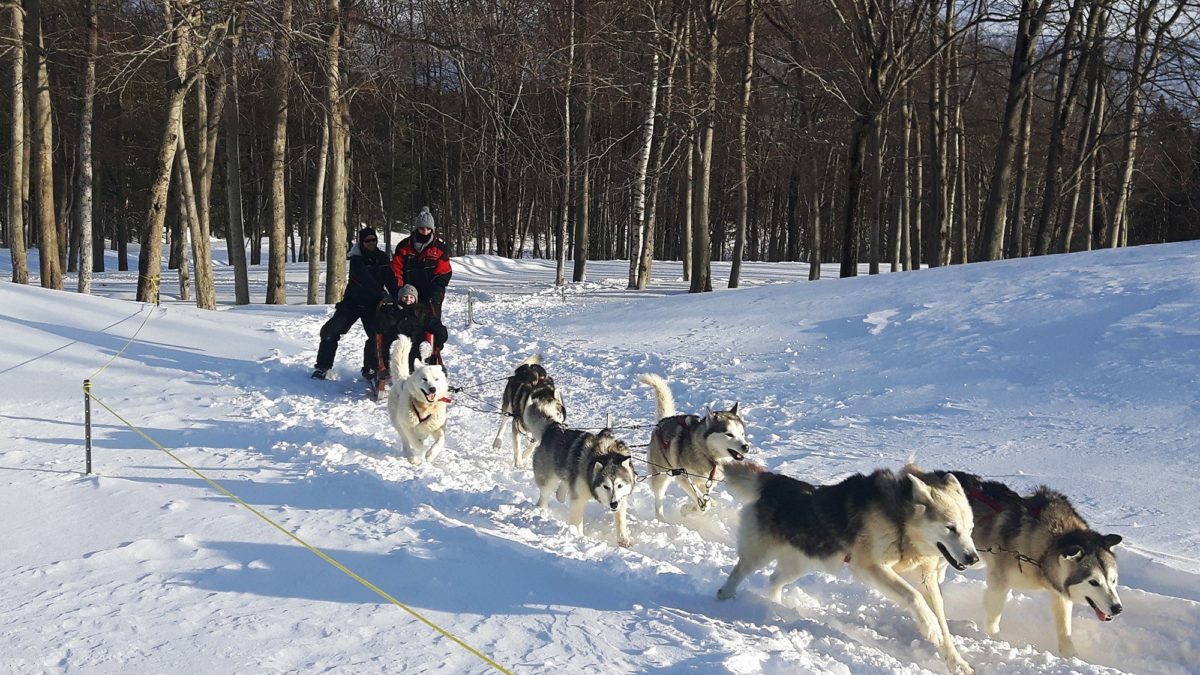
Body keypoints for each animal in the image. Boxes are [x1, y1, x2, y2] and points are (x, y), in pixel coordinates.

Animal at [388, 331, 451, 461]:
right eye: (424, 379)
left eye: (436, 379)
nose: (432, 389)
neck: (425, 407)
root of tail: (402, 378)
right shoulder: (407, 425)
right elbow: (415, 442)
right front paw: (422, 449)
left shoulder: (436, 426)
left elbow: (440, 440)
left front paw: (430, 454)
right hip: (398, 422)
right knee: (405, 441)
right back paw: (411, 457)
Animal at [643, 369, 744, 516]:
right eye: (729, 434)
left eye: (742, 434)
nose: (746, 447)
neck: (706, 454)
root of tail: (662, 422)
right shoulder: (683, 477)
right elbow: (702, 500)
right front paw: (690, 508)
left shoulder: (708, 481)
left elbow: (703, 498)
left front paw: (693, 507)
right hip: (660, 475)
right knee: (659, 499)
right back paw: (661, 518)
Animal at [715, 461, 979, 672]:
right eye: (950, 528)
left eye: (970, 529)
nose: (974, 558)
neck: (900, 520)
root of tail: (774, 481)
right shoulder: (870, 567)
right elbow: (914, 597)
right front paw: (930, 625)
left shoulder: (927, 579)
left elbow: (943, 625)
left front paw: (956, 662)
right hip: (759, 555)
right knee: (738, 573)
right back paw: (724, 599)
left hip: (799, 563)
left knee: (774, 579)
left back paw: (776, 604)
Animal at [950, 468, 1118, 658]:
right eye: (1094, 582)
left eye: (1113, 580)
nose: (1118, 608)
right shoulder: (998, 585)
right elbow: (993, 620)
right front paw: (994, 641)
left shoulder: (1059, 592)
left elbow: (1064, 628)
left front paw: (1070, 656)